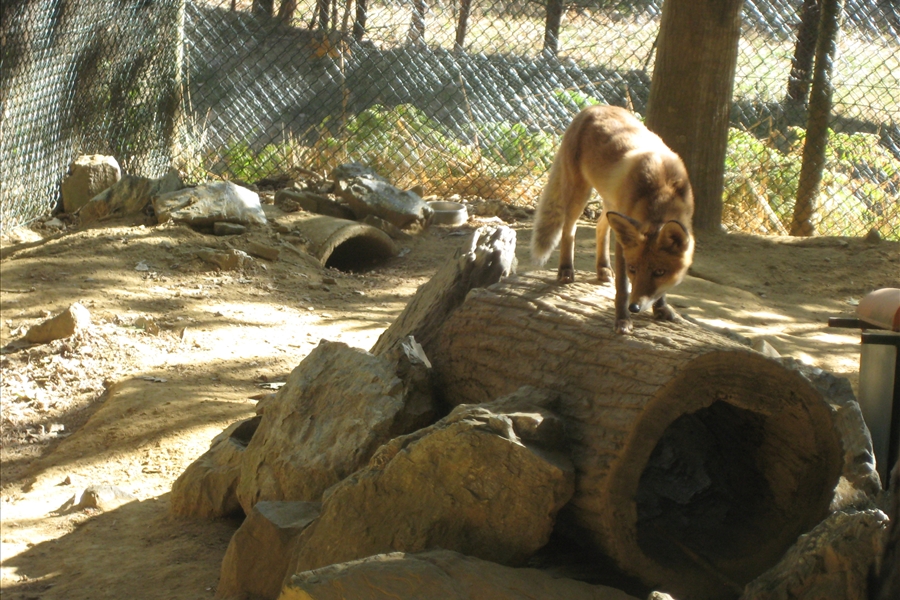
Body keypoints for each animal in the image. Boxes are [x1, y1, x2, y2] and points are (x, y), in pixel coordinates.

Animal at [531, 105, 695, 334]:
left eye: (659, 272)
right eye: (633, 269)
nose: (635, 307)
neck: (662, 188)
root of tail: (592, 107)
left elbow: (660, 290)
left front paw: (661, 308)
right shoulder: (623, 247)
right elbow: (623, 289)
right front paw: (623, 320)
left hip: (611, 205)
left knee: (600, 227)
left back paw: (602, 268)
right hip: (580, 194)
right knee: (569, 230)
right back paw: (566, 270)